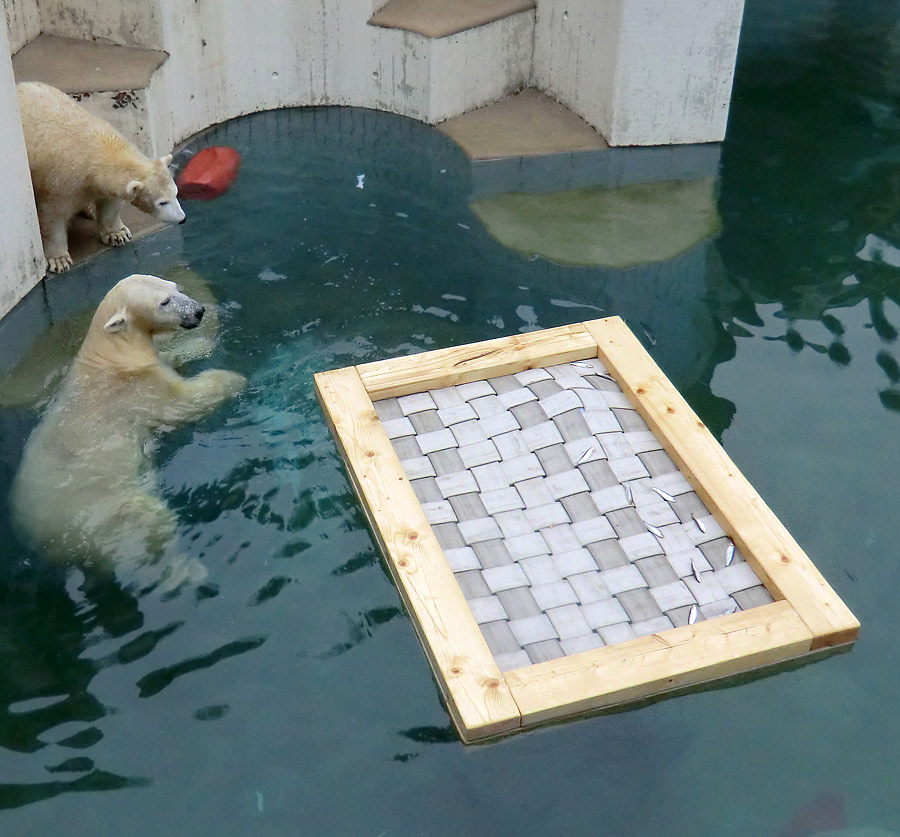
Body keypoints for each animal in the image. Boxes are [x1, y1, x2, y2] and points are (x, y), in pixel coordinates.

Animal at [8, 274, 246, 588]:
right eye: (164, 302)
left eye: (174, 287)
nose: (198, 311)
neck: (110, 356)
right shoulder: (139, 391)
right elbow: (184, 401)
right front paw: (233, 378)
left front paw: (198, 345)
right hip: (105, 511)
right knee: (149, 526)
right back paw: (187, 572)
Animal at [16, 80, 186, 272]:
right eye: (162, 202)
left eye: (176, 193)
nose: (182, 219)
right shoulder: (59, 184)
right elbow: (53, 218)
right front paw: (58, 260)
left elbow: (110, 203)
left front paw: (117, 234)